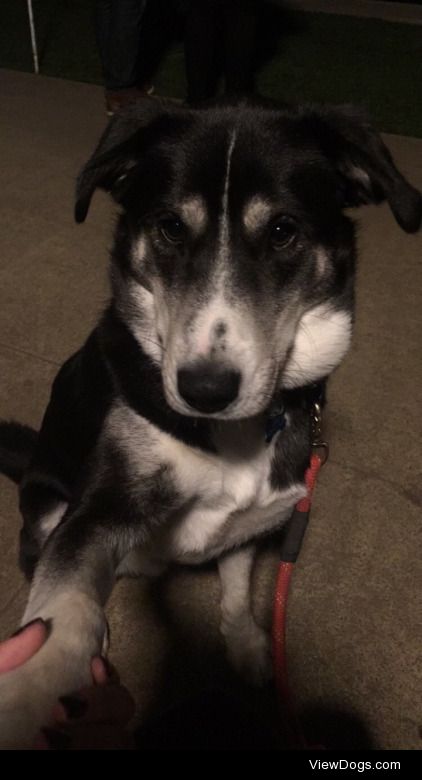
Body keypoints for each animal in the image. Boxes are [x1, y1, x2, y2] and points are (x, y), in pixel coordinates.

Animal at [0, 97, 422, 744]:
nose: (204, 391)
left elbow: (238, 579)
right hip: (48, 505)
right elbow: (65, 605)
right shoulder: (97, 511)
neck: (240, 429)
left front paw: (246, 645)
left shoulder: (261, 513)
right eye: (171, 227)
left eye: (282, 231)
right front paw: (36, 688)